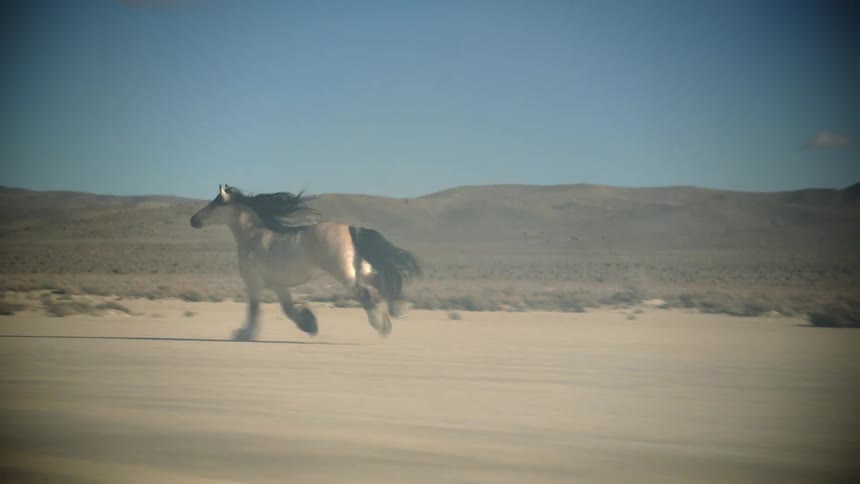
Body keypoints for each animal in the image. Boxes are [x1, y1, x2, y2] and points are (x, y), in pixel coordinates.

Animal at [190, 184, 421, 341]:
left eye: (215, 203)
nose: (193, 220)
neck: (254, 237)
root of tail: (350, 228)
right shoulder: (278, 285)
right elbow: (287, 309)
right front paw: (309, 324)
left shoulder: (253, 282)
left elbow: (254, 310)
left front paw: (243, 334)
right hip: (360, 269)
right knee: (381, 279)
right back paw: (398, 310)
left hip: (345, 274)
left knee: (364, 293)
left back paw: (381, 324)